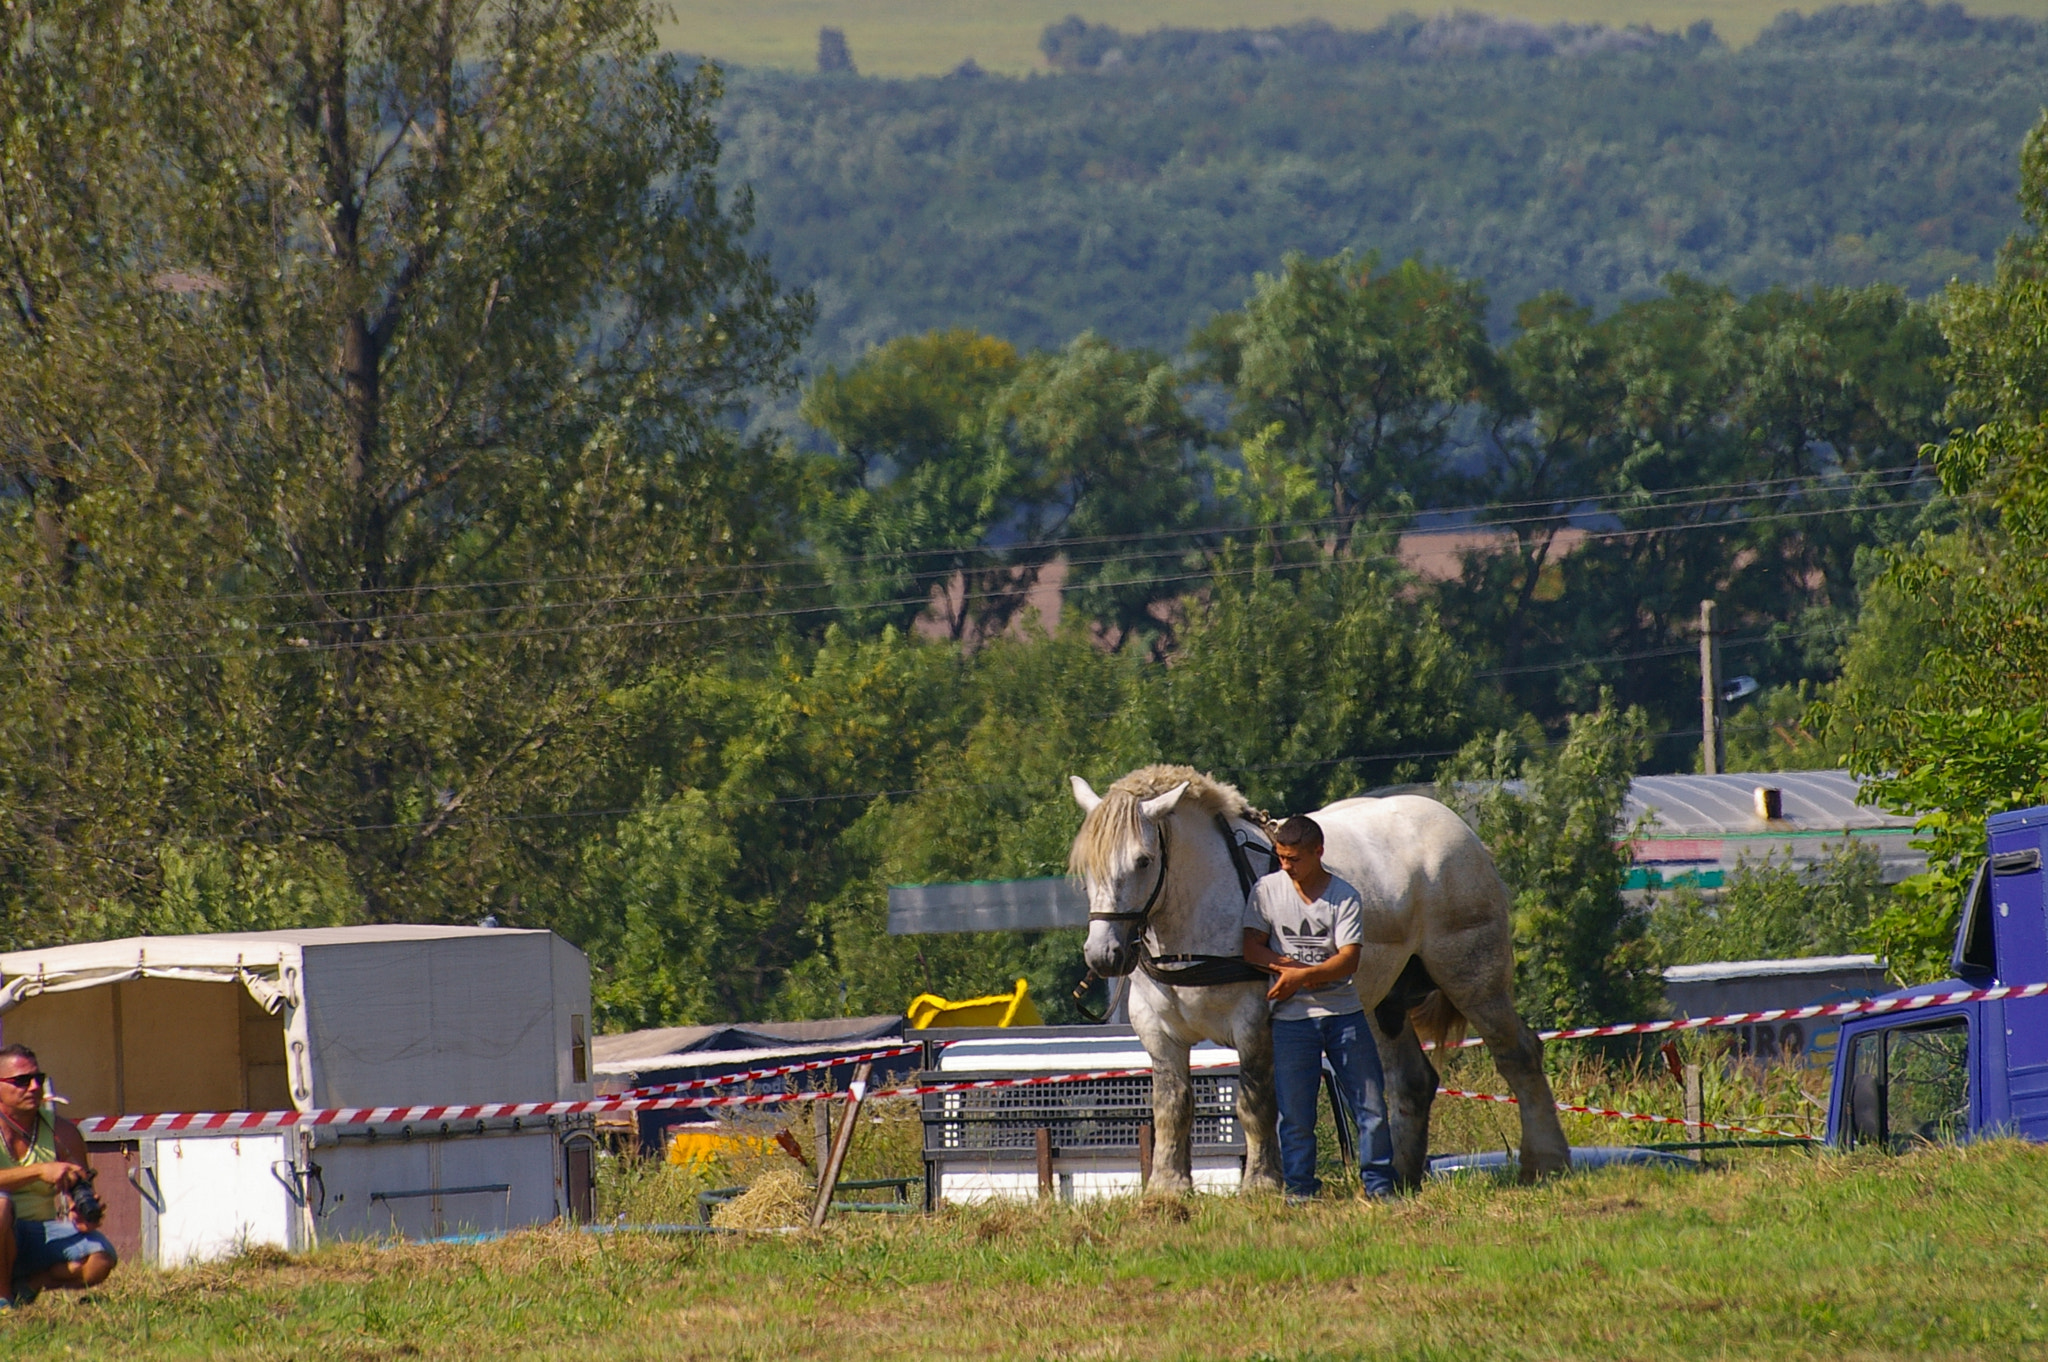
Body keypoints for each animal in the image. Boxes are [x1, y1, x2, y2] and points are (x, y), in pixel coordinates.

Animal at [1073, 765, 1564, 1187]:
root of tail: (1457, 827)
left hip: (1472, 974)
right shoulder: (1158, 1030)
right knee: (1410, 1081)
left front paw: (1262, 1184)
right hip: (1380, 1000)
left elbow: (1256, 1103)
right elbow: (1171, 1109)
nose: (1104, 954)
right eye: (1085, 868)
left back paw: (1546, 1161)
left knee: (1517, 1053)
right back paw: (1400, 1176)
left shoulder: (1253, 1023)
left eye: (1143, 860)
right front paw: (1167, 1188)